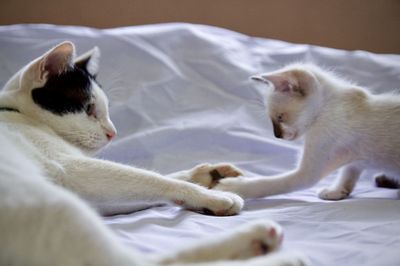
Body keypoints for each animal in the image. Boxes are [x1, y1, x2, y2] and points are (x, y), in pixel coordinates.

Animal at [0, 42, 306, 266]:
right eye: (88, 109)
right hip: (55, 208)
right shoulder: (73, 169)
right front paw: (214, 196)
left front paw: (207, 176)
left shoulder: (94, 197)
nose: (113, 132)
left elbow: (157, 181)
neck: (18, 115)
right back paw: (270, 248)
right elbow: (152, 179)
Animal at [216, 62, 400, 200]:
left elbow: (270, 183)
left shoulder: (309, 171)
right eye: (272, 120)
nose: (277, 136)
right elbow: (347, 174)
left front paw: (232, 186)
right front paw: (337, 192)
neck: (325, 107)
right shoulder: (354, 160)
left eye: (280, 118)